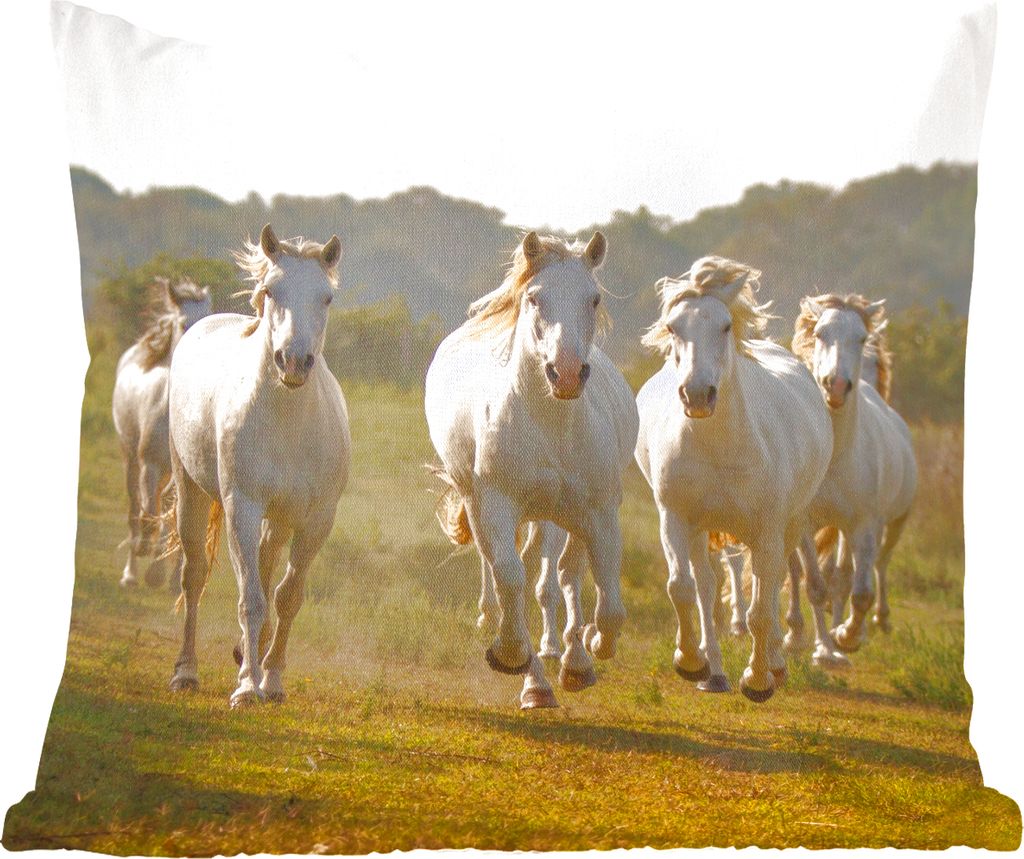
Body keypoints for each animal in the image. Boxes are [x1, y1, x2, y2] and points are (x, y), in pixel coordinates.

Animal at [112, 277, 211, 588]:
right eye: (183, 323)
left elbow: (175, 523)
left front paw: (165, 577)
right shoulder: (150, 464)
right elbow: (150, 513)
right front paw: (148, 557)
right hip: (130, 459)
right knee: (135, 509)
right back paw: (131, 573)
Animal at [167, 225, 350, 707]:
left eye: (326, 297)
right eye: (271, 291)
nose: (294, 361)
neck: (288, 423)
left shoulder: (316, 519)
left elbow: (287, 596)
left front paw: (272, 679)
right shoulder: (242, 508)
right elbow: (250, 596)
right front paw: (248, 686)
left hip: (281, 518)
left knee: (268, 567)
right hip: (190, 490)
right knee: (194, 576)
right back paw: (185, 671)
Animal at [426, 231, 639, 709]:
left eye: (594, 298)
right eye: (535, 298)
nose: (566, 374)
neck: (549, 424)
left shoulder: (599, 512)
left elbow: (608, 603)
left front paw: (590, 650)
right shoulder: (493, 505)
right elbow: (509, 578)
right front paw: (513, 659)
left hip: (559, 515)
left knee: (562, 576)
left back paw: (571, 658)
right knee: (510, 574)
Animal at [635, 256, 832, 702]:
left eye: (725, 326)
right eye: (673, 327)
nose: (696, 395)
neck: (720, 449)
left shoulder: (768, 530)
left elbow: (761, 610)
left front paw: (758, 680)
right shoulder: (675, 518)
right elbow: (681, 588)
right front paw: (690, 661)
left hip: (789, 525)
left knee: (772, 590)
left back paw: (774, 665)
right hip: (700, 531)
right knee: (706, 590)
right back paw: (714, 673)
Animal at [790, 295, 916, 654]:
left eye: (860, 339)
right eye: (819, 334)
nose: (836, 385)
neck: (834, 458)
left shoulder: (864, 525)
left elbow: (857, 590)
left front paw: (846, 637)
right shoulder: (803, 523)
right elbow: (814, 584)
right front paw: (824, 650)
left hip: (891, 523)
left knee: (875, 565)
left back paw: (876, 621)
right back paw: (795, 634)